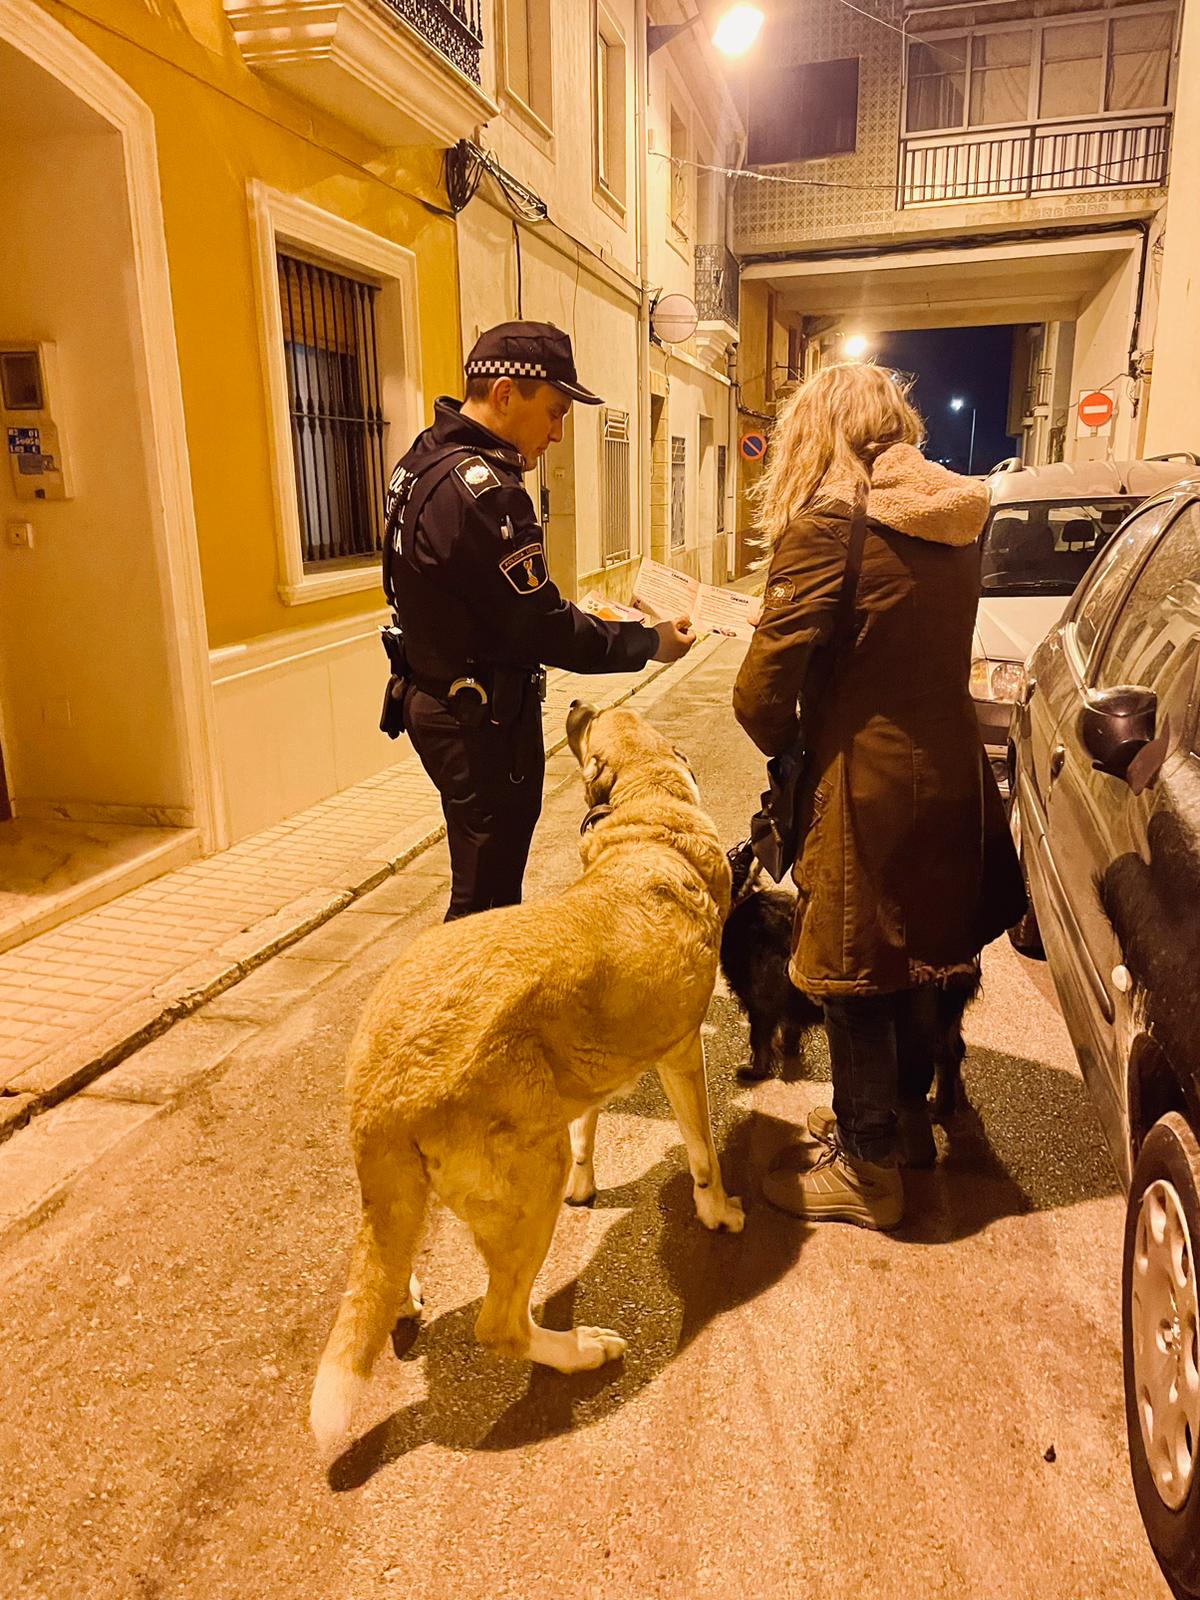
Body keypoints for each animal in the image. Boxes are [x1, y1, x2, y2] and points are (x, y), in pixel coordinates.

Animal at [310, 700, 742, 1452]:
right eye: (597, 720)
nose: (573, 702)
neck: (650, 822)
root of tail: (380, 1090)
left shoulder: (590, 1065)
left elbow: (590, 1125)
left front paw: (589, 1183)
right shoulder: (682, 1051)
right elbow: (703, 1152)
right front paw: (718, 1212)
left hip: (413, 1184)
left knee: (386, 1246)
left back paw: (403, 1293)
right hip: (528, 1184)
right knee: (500, 1326)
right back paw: (579, 1351)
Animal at [720, 844, 979, 1120]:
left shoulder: (760, 1004)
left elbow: (759, 1043)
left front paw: (755, 1071)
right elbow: (790, 1027)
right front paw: (788, 1048)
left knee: (943, 1060)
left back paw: (941, 1109)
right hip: (946, 1020)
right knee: (954, 1052)